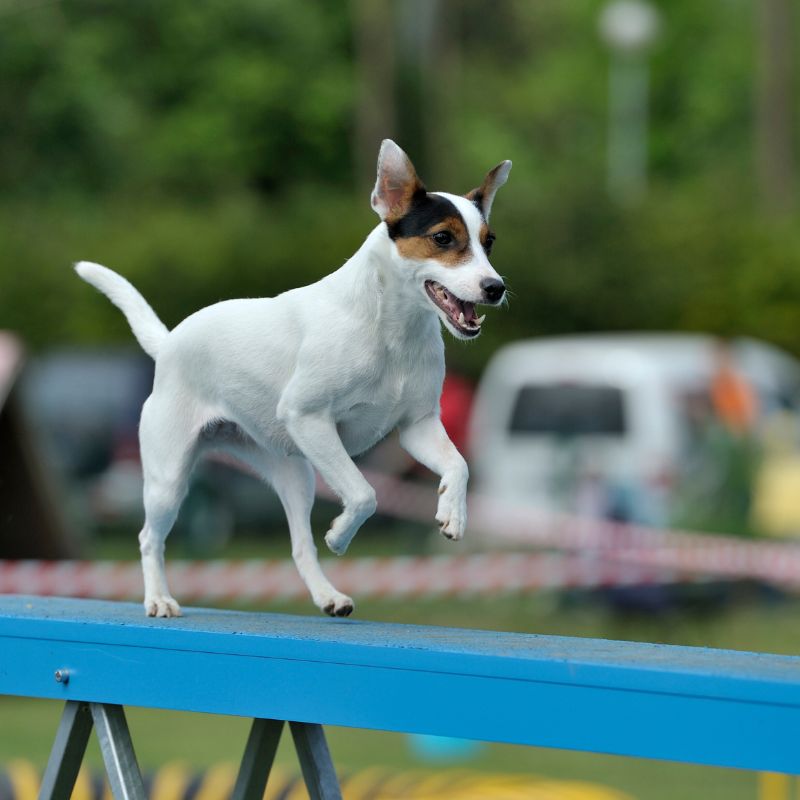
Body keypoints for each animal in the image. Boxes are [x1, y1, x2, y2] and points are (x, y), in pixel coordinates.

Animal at [76, 142, 512, 620]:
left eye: (489, 242)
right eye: (443, 238)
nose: (495, 287)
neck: (391, 326)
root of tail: (169, 341)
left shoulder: (418, 427)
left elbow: (458, 464)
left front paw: (453, 512)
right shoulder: (308, 418)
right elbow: (365, 493)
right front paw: (340, 534)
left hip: (295, 474)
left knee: (300, 546)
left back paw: (327, 595)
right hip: (169, 477)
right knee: (149, 538)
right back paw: (158, 598)